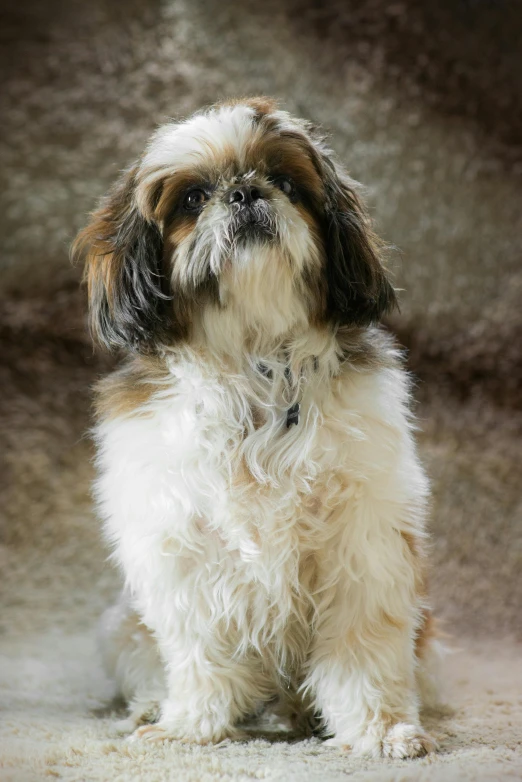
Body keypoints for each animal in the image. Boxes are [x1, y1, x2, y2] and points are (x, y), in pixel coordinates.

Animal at [74, 96, 438, 760]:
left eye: (288, 185)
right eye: (193, 199)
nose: (244, 192)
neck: (256, 362)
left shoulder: (363, 544)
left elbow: (363, 647)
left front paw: (378, 729)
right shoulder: (181, 548)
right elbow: (200, 652)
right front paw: (192, 725)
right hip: (121, 624)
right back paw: (153, 707)